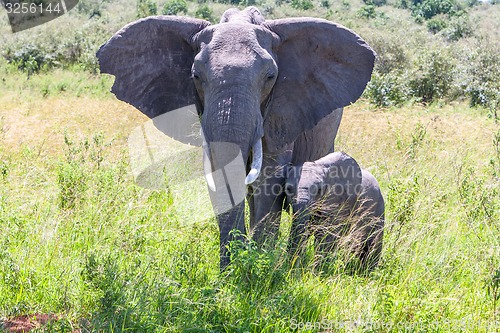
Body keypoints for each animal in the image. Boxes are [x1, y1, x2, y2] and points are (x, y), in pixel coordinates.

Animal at [96, 6, 376, 268]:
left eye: (270, 77)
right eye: (196, 76)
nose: (234, 261)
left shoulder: (282, 112)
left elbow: (268, 180)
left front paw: (259, 264)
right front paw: (235, 269)